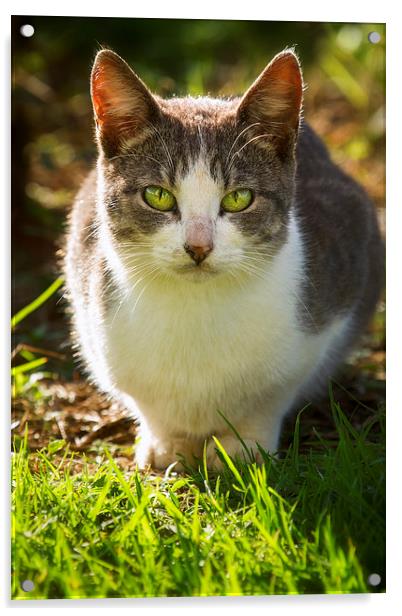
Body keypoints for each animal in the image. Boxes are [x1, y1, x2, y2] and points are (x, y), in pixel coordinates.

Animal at [62, 49, 384, 472]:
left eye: (238, 198)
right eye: (157, 196)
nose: (198, 246)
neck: (197, 311)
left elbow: (273, 396)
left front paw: (244, 446)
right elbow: (148, 403)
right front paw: (166, 443)